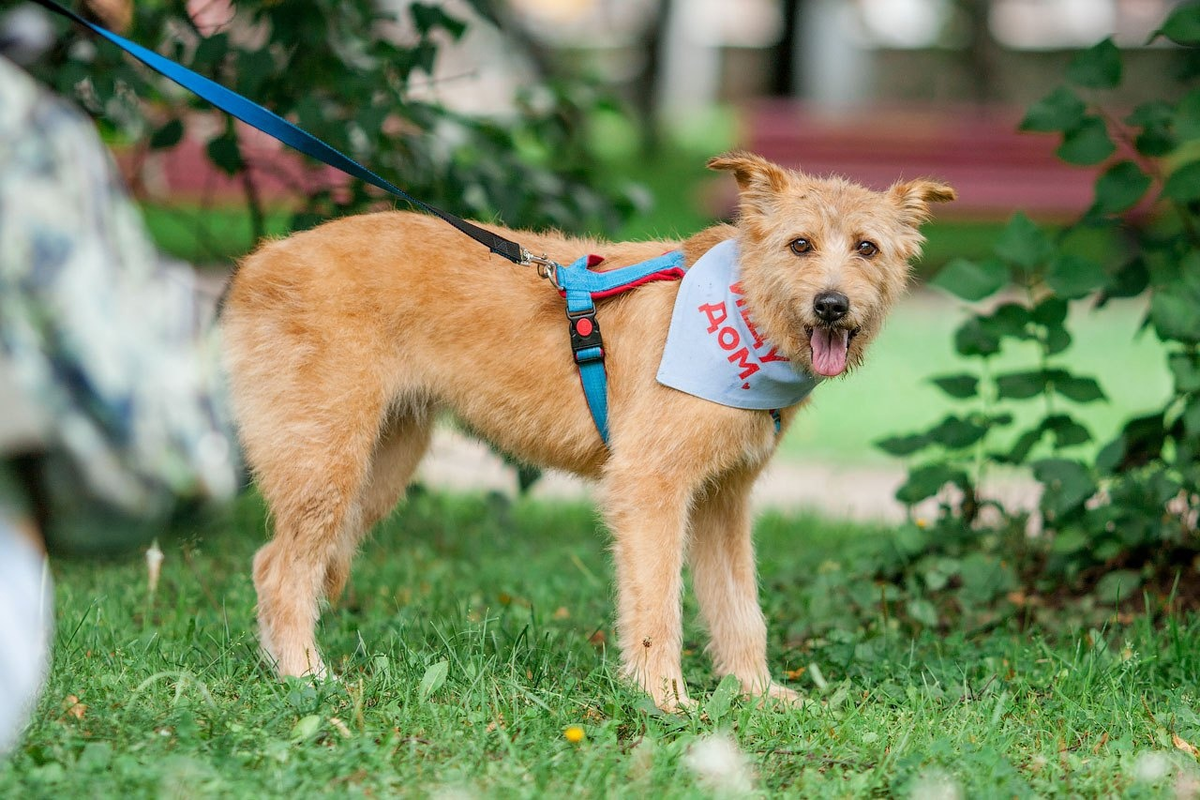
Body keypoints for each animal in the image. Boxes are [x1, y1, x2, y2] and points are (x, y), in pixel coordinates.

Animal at [218, 153, 955, 710]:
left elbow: (740, 610)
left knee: (268, 561)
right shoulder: (649, 488)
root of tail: (259, 259)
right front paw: (664, 701)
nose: (832, 305)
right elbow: (658, 608)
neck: (744, 310)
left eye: (867, 248)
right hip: (327, 464)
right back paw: (306, 678)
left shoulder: (723, 501)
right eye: (800, 244)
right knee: (282, 570)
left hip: (376, 472)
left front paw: (758, 694)